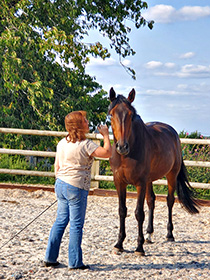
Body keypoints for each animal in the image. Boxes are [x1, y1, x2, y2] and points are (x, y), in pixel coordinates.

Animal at [109, 87, 199, 256]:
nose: (122, 147)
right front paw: (119, 244)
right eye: (111, 115)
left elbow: (139, 213)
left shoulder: (140, 183)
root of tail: (173, 132)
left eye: (131, 115)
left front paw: (139, 248)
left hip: (171, 175)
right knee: (151, 200)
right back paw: (149, 235)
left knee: (170, 201)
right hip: (150, 180)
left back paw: (169, 235)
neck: (127, 155)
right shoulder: (119, 182)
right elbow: (122, 211)